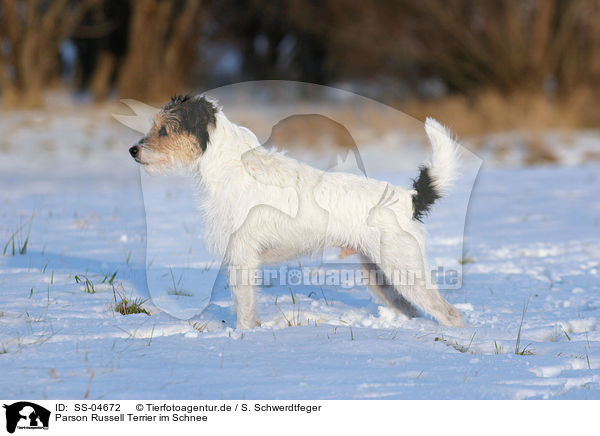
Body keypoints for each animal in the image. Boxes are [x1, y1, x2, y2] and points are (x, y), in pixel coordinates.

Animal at [129, 94, 462, 328]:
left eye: (164, 130)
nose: (133, 150)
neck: (229, 165)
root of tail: (407, 198)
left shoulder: (242, 256)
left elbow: (245, 306)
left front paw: (243, 335)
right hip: (381, 276)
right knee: (414, 310)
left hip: (404, 270)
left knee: (448, 313)